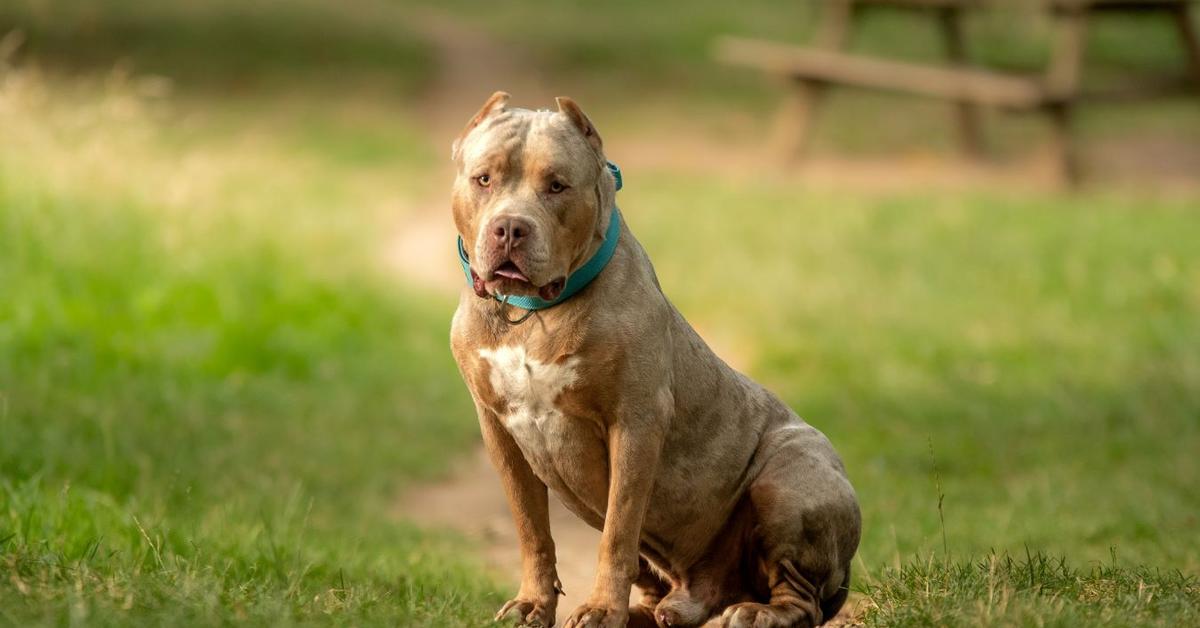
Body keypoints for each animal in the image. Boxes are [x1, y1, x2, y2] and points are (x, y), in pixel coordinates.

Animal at [446, 93, 859, 628]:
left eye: (557, 185)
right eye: (484, 179)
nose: (511, 228)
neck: (532, 314)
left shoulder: (636, 423)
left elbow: (618, 531)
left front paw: (601, 608)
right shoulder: (498, 429)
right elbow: (531, 528)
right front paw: (533, 603)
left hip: (790, 477)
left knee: (802, 598)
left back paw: (755, 612)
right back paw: (653, 611)